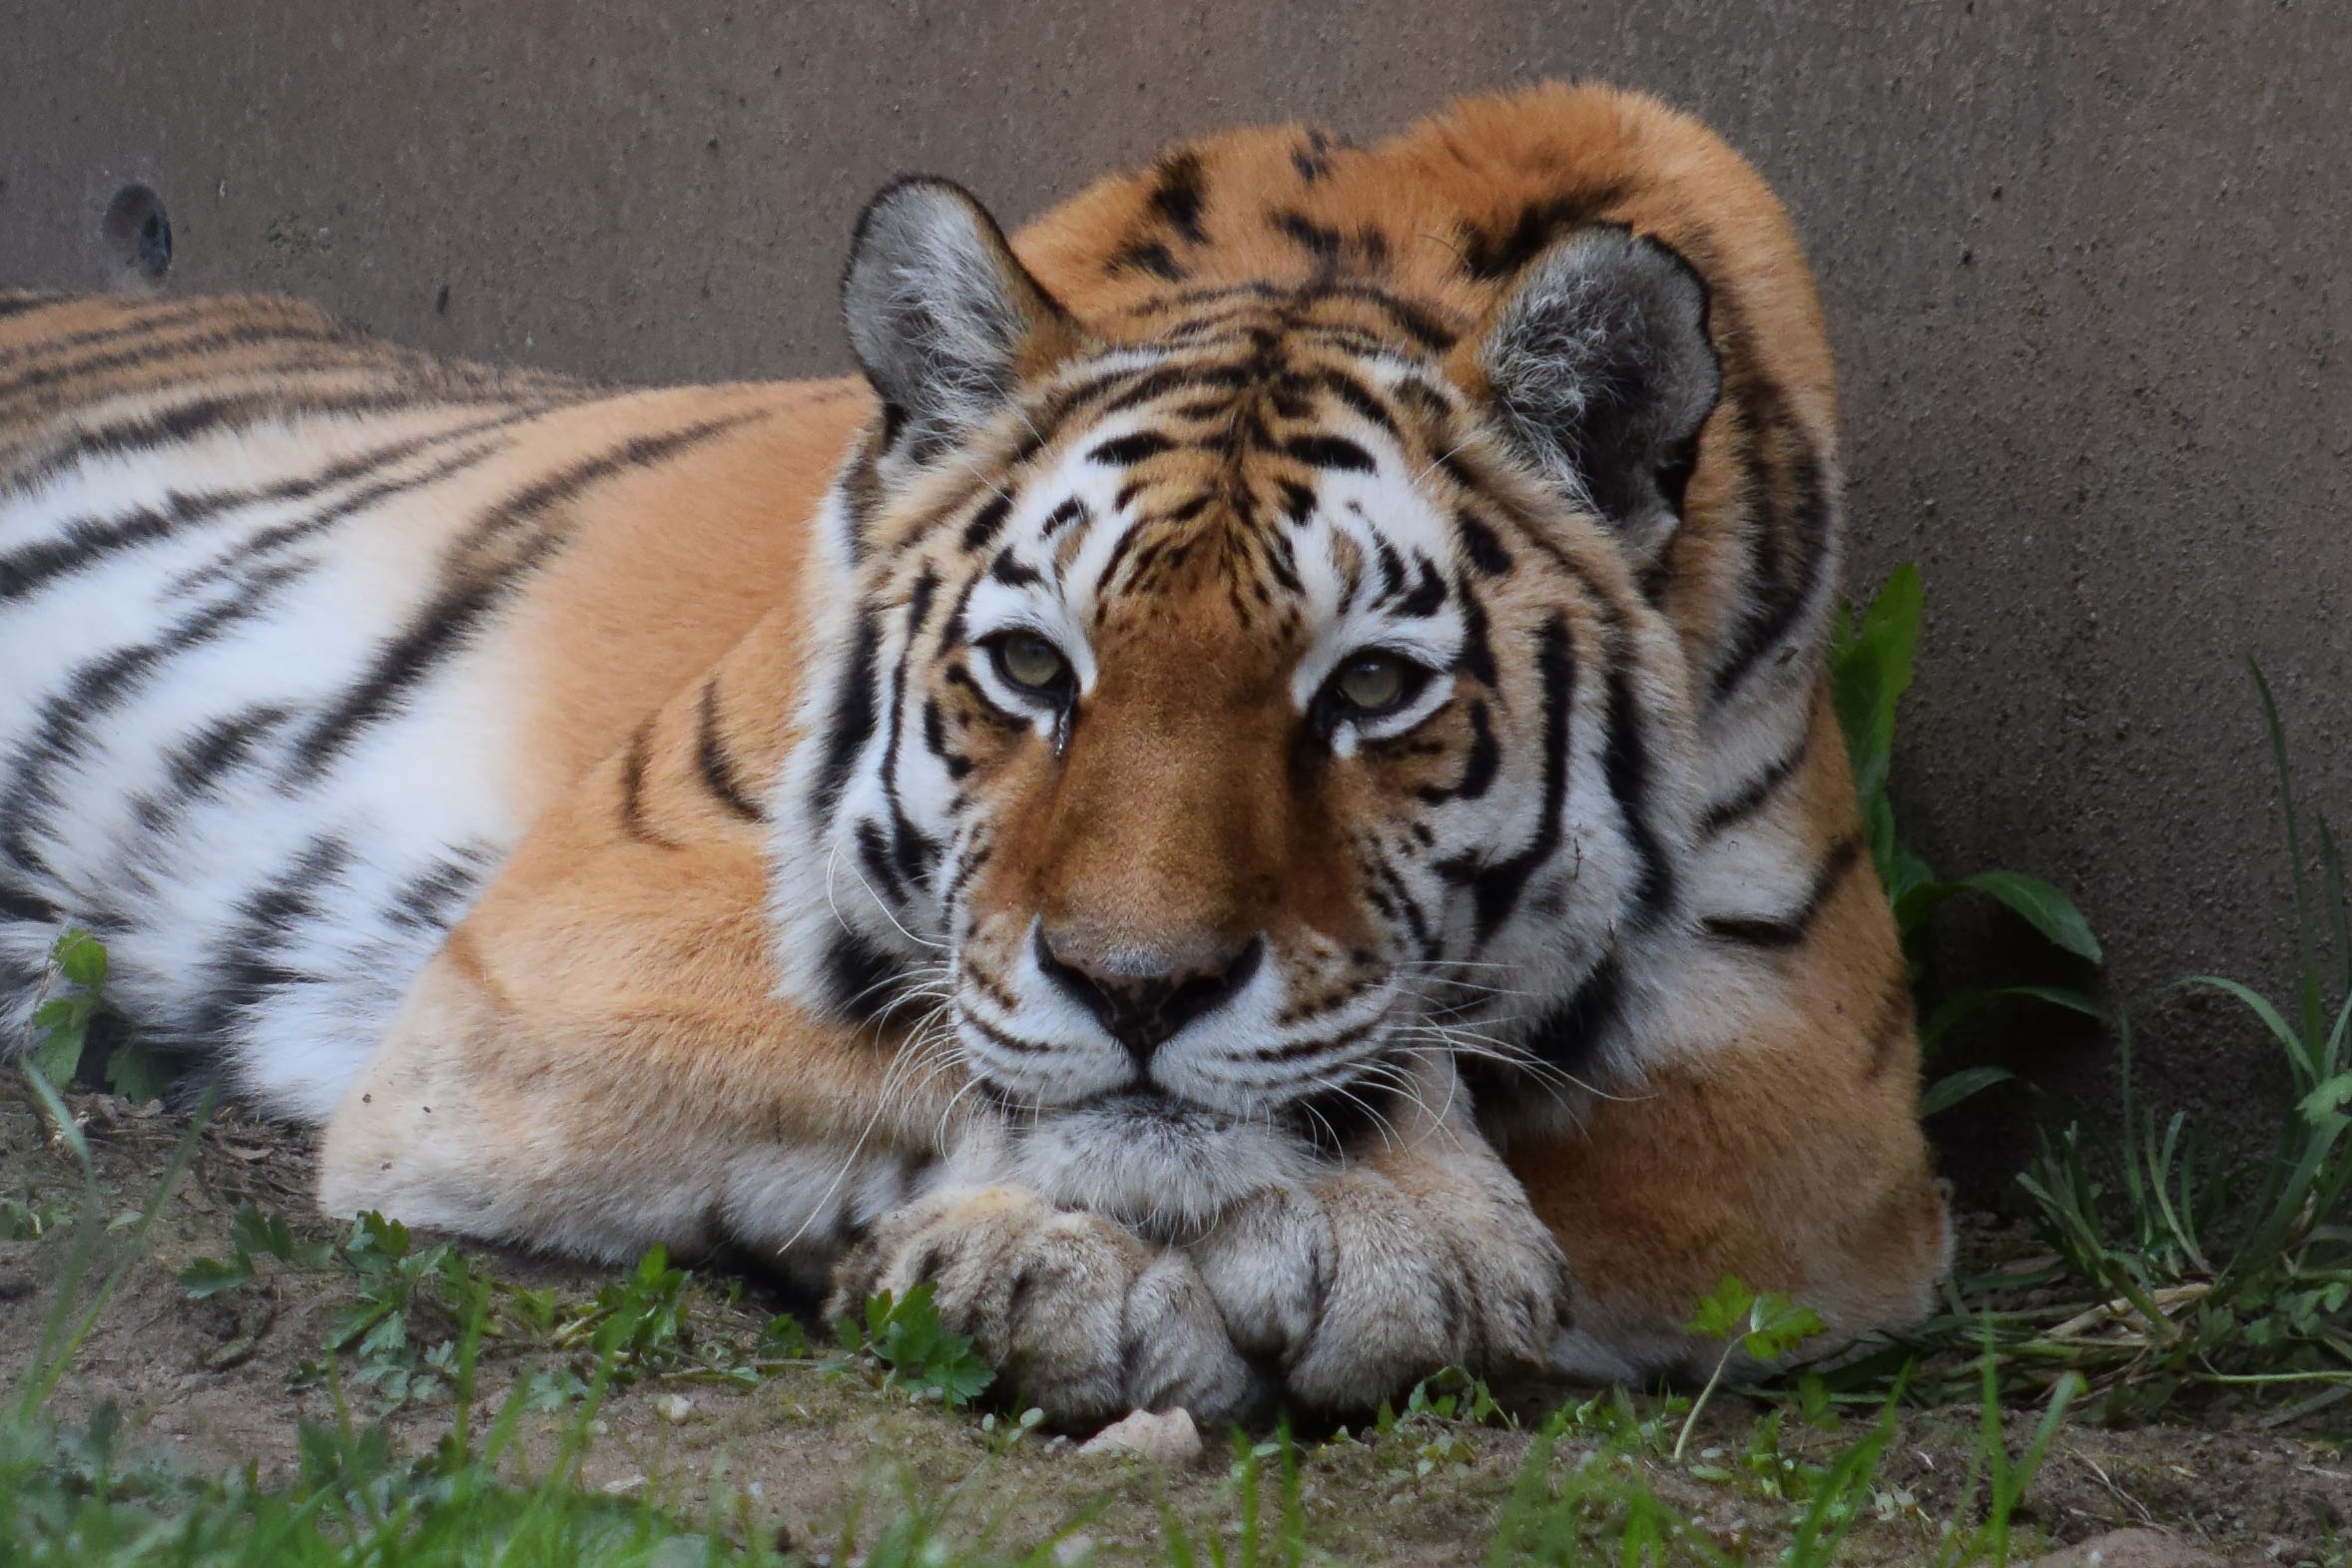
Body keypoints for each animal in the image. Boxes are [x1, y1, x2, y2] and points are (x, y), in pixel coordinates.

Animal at [0, 85, 1947, 1429]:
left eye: (1373, 690)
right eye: (1030, 667)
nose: (1138, 987)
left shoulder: (1823, 1110)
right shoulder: (574, 927)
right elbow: (946, 1038)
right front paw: (1171, 1252)